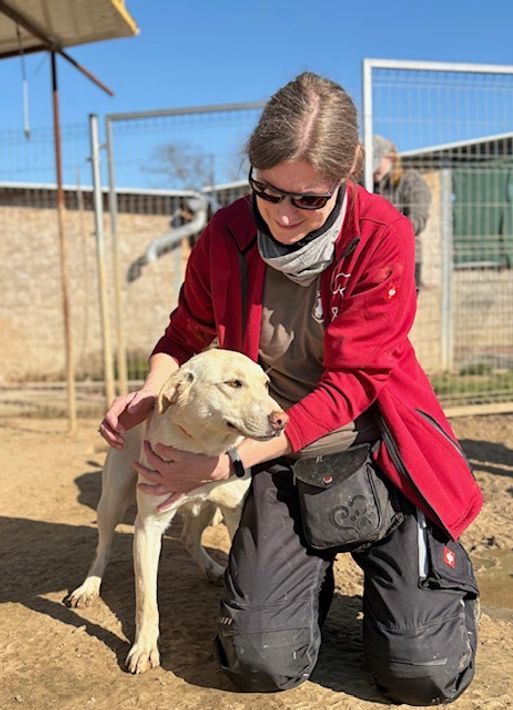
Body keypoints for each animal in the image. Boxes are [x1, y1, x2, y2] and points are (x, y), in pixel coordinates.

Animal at [66, 349, 286, 674]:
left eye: (266, 384)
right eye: (233, 383)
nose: (282, 419)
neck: (201, 447)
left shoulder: (233, 513)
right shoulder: (148, 527)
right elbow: (147, 600)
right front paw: (144, 648)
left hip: (204, 509)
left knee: (188, 538)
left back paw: (211, 569)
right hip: (112, 500)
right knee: (102, 548)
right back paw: (89, 587)